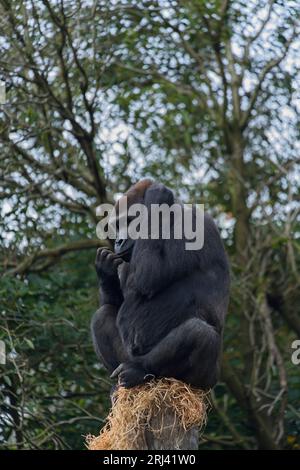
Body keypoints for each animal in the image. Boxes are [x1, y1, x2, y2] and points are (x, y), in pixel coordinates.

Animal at [91, 179, 230, 390]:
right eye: (118, 225)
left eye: (130, 221)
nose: (119, 241)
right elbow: (114, 303)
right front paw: (106, 271)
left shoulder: (191, 225)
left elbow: (148, 275)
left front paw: (157, 197)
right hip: (127, 357)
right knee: (102, 315)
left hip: (204, 380)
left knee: (199, 332)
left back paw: (140, 369)